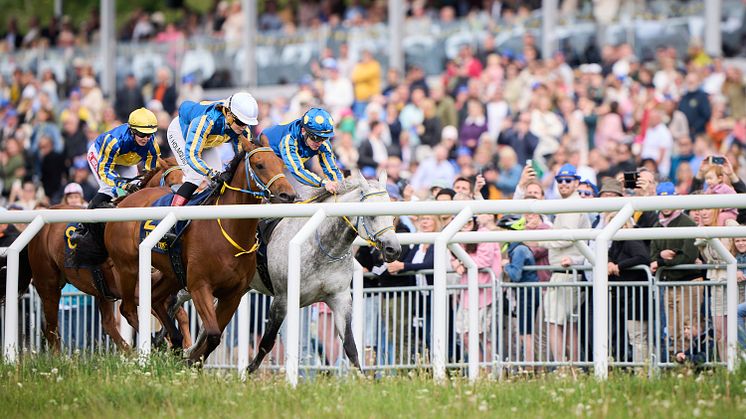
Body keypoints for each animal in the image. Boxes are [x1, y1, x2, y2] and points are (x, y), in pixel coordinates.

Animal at [26, 159, 189, 352]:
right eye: (171, 185)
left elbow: (178, 310)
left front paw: (184, 345)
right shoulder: (132, 287)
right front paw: (164, 343)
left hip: (101, 290)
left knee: (107, 323)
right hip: (48, 283)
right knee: (51, 328)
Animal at [105, 139, 296, 364]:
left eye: (281, 164)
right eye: (260, 165)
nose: (288, 195)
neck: (229, 229)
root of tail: (125, 202)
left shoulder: (233, 294)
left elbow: (213, 336)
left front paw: (191, 359)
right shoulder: (200, 286)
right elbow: (212, 334)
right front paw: (190, 359)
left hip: (172, 273)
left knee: (155, 299)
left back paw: (174, 341)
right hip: (128, 267)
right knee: (128, 308)